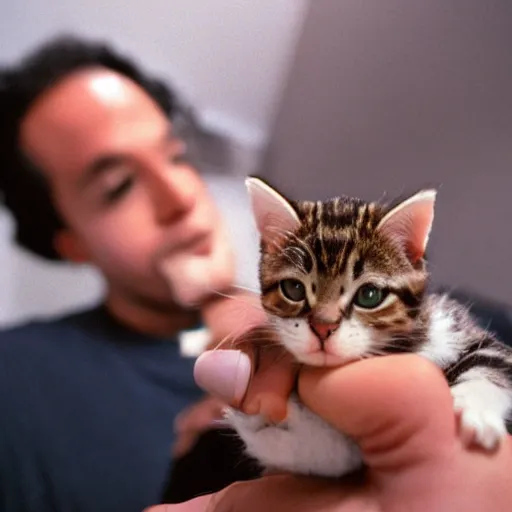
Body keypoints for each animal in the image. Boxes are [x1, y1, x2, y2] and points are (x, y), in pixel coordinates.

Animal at [226, 178, 512, 478]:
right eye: (293, 289)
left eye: (369, 295)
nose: (323, 328)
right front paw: (266, 429)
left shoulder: (453, 325)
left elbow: (492, 359)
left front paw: (475, 410)